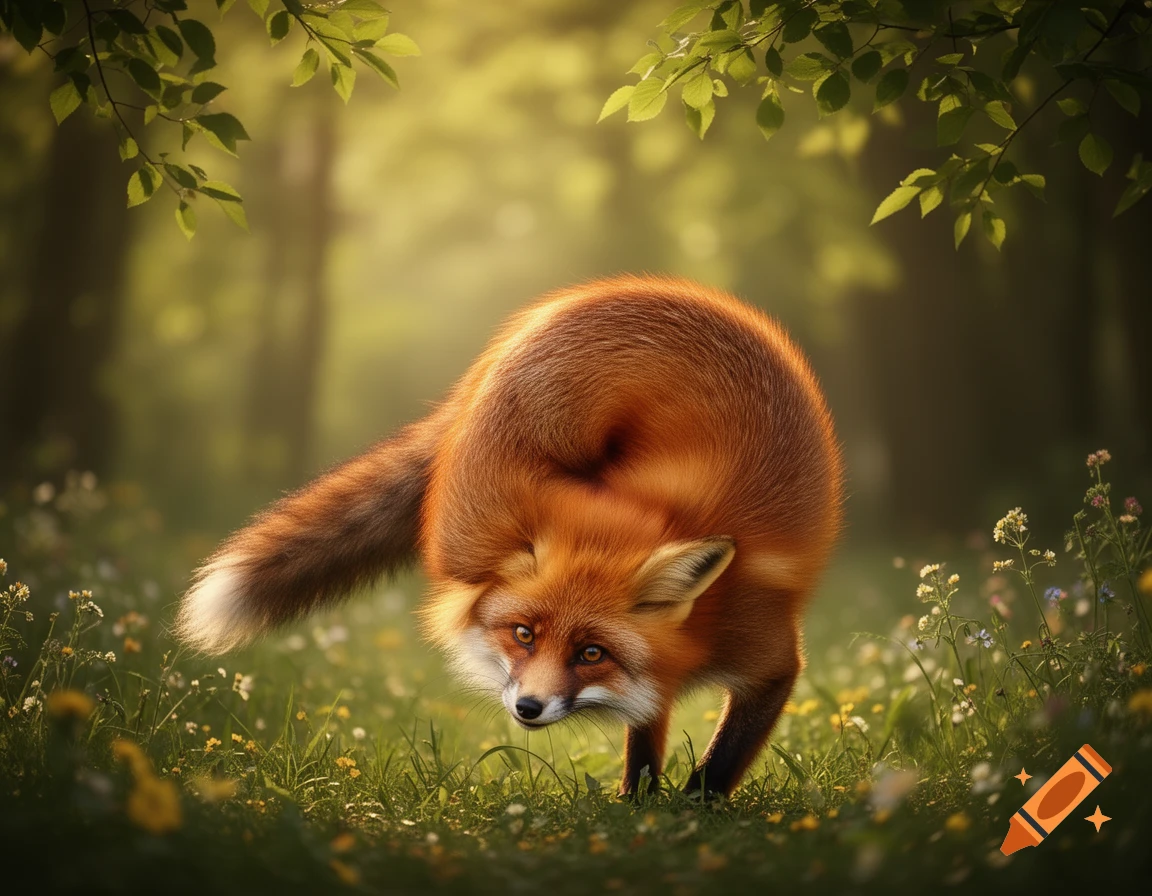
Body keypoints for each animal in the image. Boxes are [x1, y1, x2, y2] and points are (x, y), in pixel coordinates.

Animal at [175, 274, 843, 798]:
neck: (702, 624)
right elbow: (651, 743)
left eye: (592, 653)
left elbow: (714, 760)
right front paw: (641, 807)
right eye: (524, 635)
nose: (527, 707)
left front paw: (677, 813)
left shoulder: (767, 658)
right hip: (482, 518)